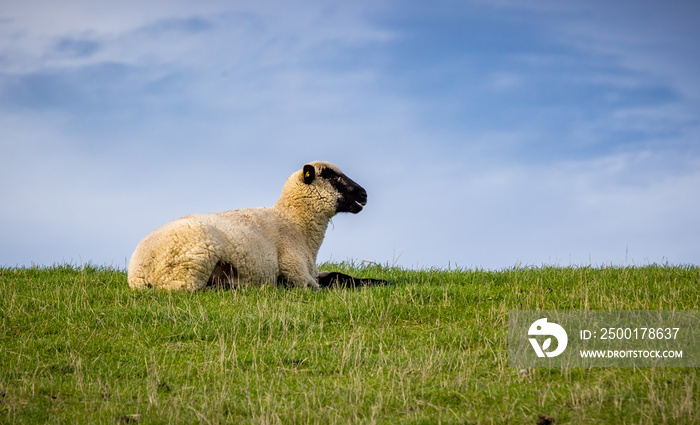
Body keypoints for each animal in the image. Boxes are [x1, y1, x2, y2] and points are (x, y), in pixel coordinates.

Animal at [126, 161, 388, 290]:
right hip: (189, 266)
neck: (295, 224)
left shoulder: (312, 271)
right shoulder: (296, 272)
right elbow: (324, 286)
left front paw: (384, 282)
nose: (364, 194)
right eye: (330, 176)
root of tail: (137, 271)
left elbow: (339, 276)